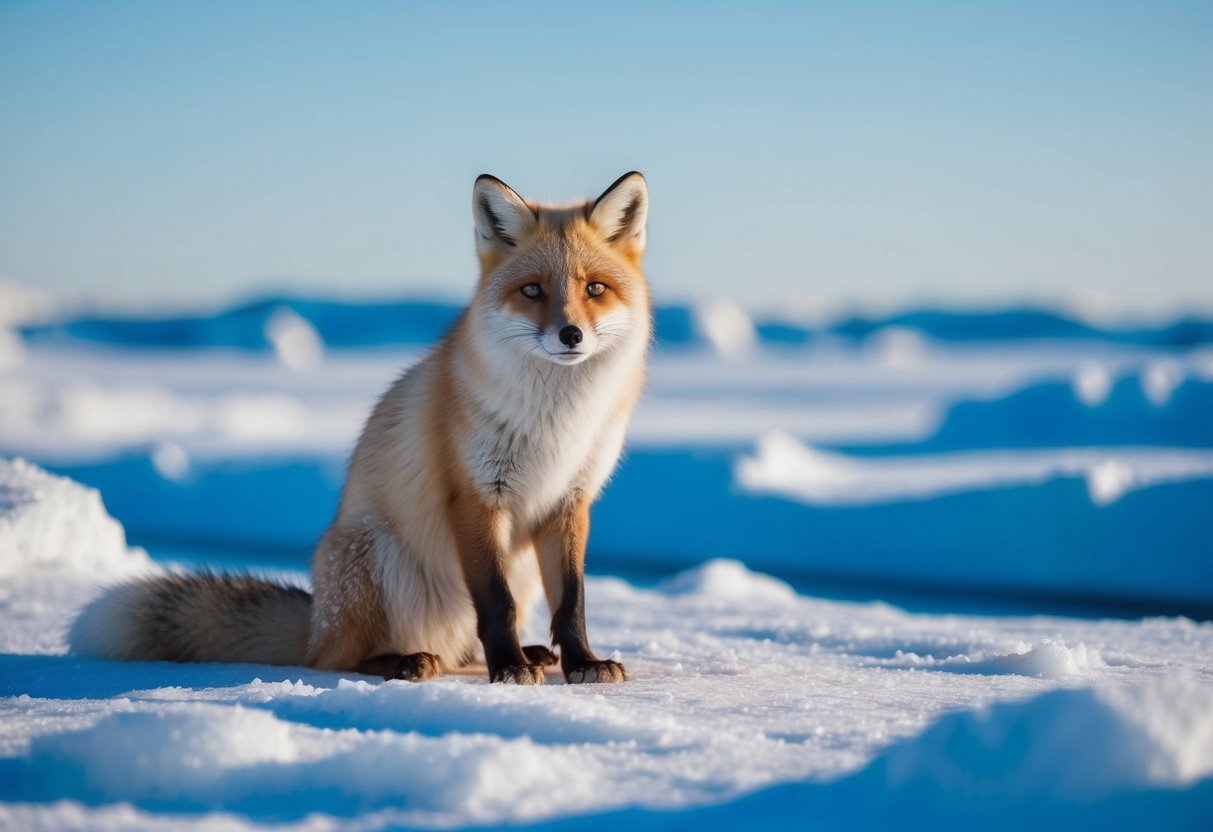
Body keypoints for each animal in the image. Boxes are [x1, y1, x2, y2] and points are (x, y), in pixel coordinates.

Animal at [70, 171, 652, 685]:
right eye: (532, 291)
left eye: (594, 288)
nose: (571, 334)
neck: (557, 422)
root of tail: (312, 623)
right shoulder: (474, 497)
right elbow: (495, 603)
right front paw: (508, 669)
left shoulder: (570, 502)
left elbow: (572, 602)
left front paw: (581, 663)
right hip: (374, 553)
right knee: (336, 659)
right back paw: (406, 661)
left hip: (513, 566)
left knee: (459, 647)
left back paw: (519, 654)